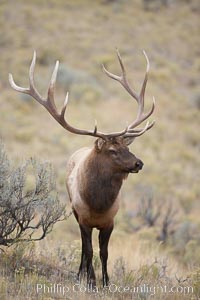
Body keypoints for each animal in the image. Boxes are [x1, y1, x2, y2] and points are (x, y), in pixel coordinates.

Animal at [8, 49, 155, 288]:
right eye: (112, 150)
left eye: (127, 146)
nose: (138, 163)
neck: (98, 204)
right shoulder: (84, 219)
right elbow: (89, 250)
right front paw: (92, 281)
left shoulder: (110, 221)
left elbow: (104, 253)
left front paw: (106, 282)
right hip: (75, 212)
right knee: (83, 247)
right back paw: (80, 274)